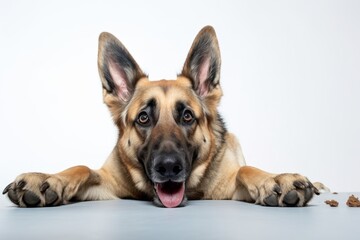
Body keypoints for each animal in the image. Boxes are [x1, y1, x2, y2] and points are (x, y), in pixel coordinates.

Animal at [3, 25, 324, 207]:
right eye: (143, 118)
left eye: (188, 117)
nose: (168, 167)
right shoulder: (106, 184)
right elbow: (81, 167)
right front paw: (47, 179)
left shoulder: (231, 186)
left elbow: (246, 170)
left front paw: (275, 179)